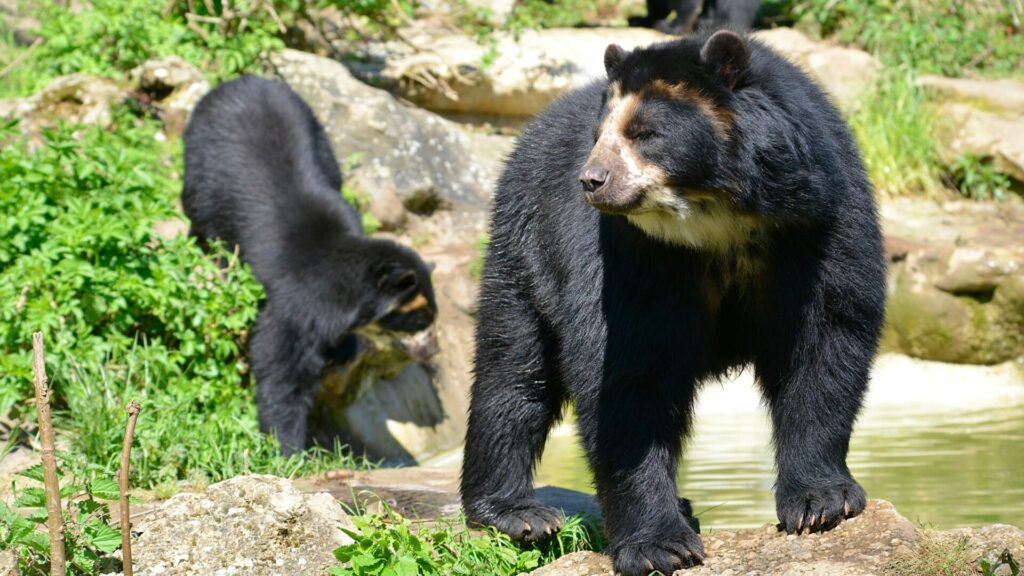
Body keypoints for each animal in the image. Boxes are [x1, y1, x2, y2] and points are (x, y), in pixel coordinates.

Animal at [183, 75, 436, 453]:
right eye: (416, 320)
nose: (433, 350)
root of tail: (240, 80)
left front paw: (343, 348)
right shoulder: (295, 306)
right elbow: (281, 368)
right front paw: (286, 448)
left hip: (317, 131)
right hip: (200, 158)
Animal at [460, 31, 884, 573]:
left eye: (645, 133)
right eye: (599, 134)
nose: (592, 180)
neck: (717, 220)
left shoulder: (818, 222)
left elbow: (826, 337)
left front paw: (821, 503)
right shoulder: (629, 256)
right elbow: (626, 374)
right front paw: (660, 546)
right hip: (525, 244)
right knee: (513, 371)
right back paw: (516, 512)